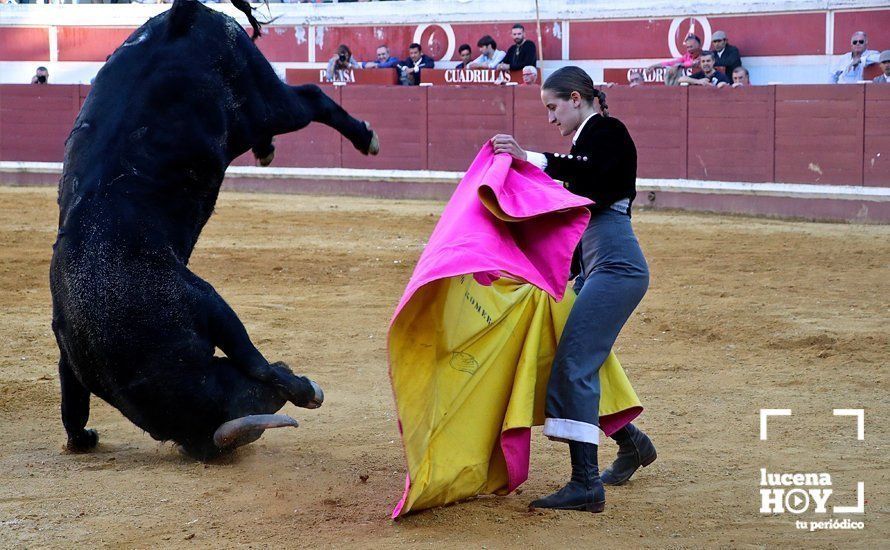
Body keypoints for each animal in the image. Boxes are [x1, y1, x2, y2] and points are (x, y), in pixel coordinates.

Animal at [49, 0, 378, 462]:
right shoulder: (71, 356)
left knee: (309, 98)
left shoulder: (204, 300)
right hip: (249, 115)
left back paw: (365, 138)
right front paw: (84, 439)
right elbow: (71, 407)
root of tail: (180, 15)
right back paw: (267, 150)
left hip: (264, 99)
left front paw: (304, 389)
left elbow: (251, 356)